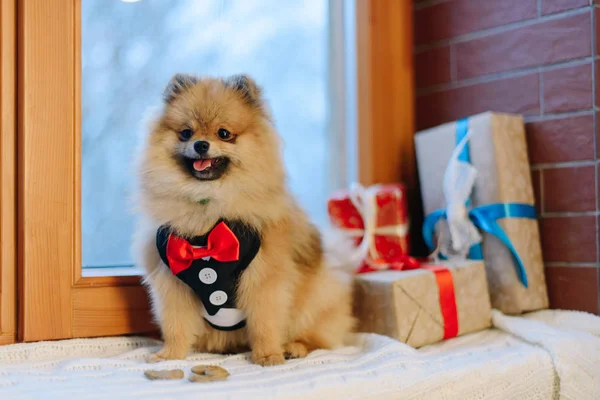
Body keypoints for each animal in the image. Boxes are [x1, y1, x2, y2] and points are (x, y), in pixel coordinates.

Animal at [134, 72, 354, 366]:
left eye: (224, 134)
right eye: (186, 132)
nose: (200, 144)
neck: (208, 206)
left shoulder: (264, 278)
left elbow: (264, 322)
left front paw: (268, 354)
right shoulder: (173, 281)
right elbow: (175, 324)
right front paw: (170, 355)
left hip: (315, 299)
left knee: (316, 336)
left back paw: (294, 346)